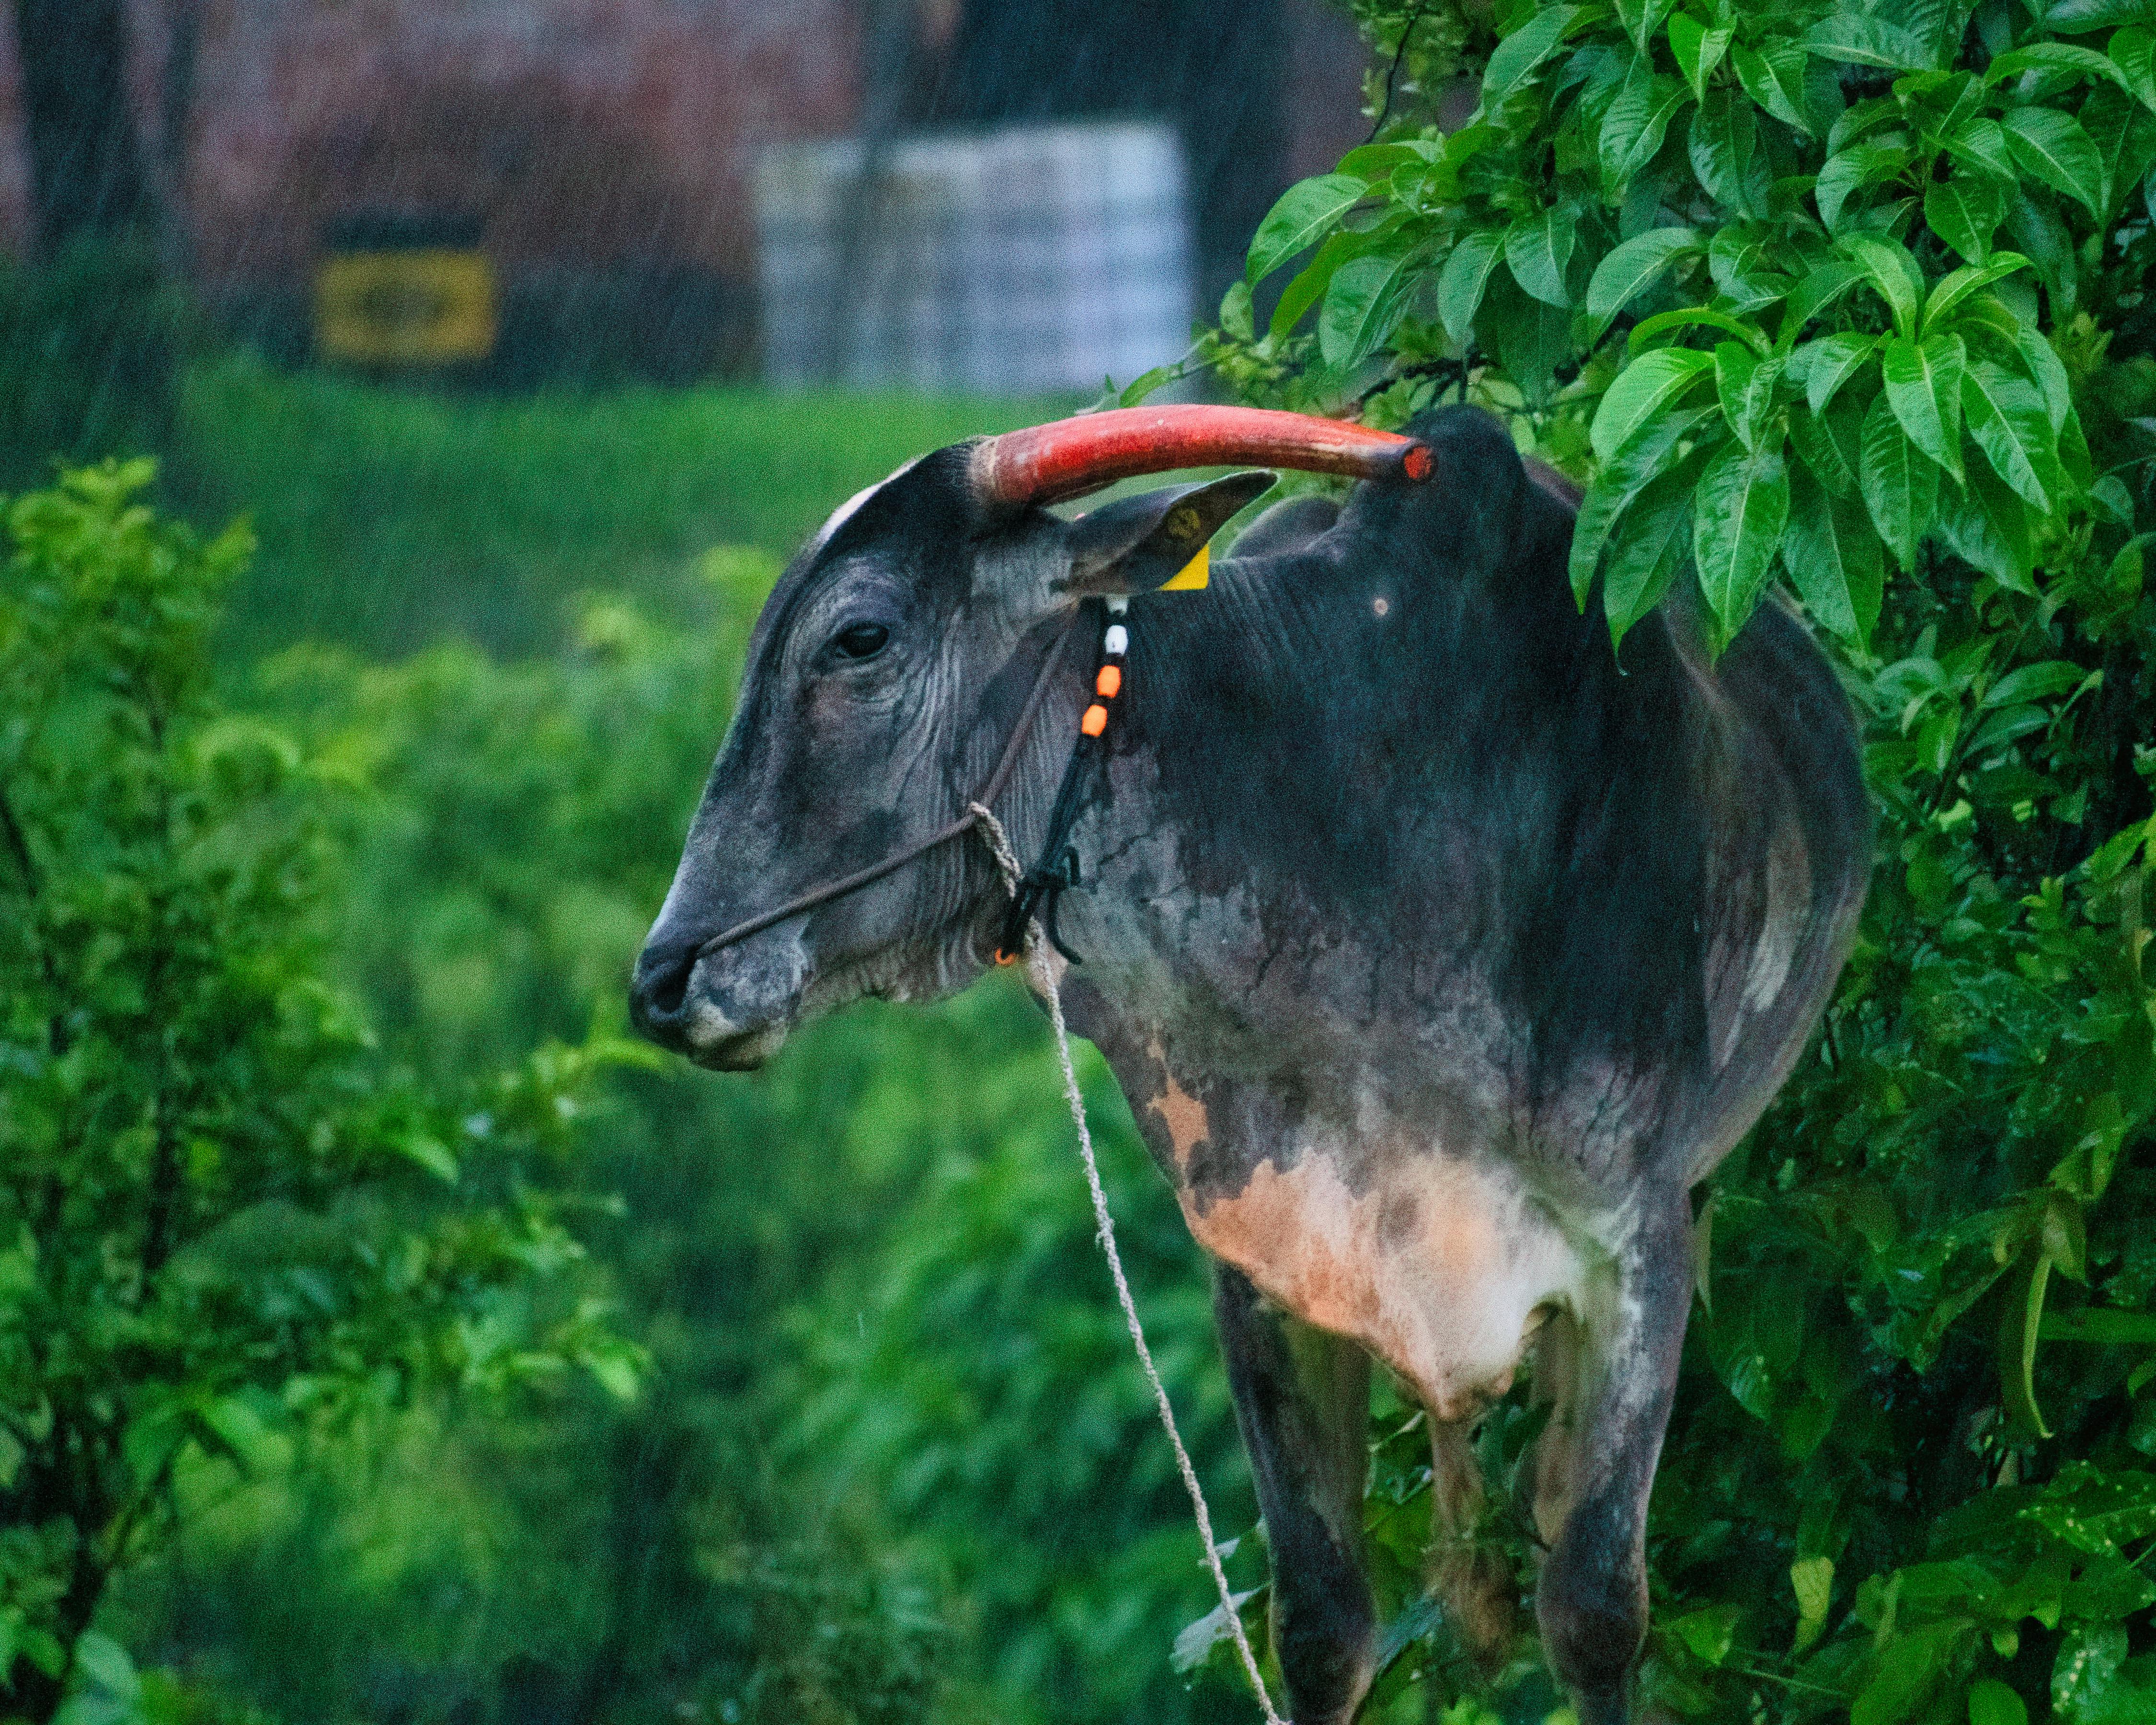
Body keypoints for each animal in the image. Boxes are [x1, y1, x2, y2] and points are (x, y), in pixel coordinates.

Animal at [630, 402, 1871, 1725]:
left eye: (858, 638)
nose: (666, 981)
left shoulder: (1636, 1250)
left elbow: (1592, 1613)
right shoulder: (1268, 1272)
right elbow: (1320, 1626)